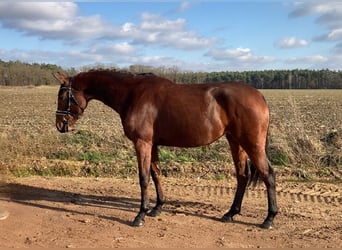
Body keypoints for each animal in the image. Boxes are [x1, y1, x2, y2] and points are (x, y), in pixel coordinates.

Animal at [54, 69, 278, 229]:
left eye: (63, 96)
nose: (60, 125)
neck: (132, 93)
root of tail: (259, 95)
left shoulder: (142, 143)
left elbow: (144, 177)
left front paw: (140, 215)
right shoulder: (152, 144)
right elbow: (156, 174)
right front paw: (157, 208)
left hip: (252, 144)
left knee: (267, 174)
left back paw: (269, 218)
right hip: (235, 142)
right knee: (242, 175)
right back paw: (231, 213)